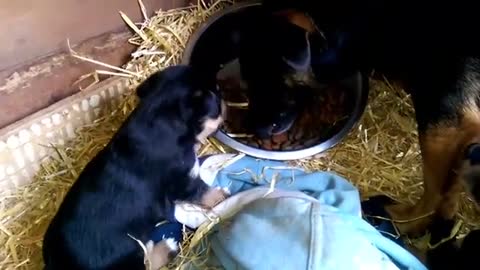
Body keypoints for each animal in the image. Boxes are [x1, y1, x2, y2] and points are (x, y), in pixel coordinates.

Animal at [41, 65, 229, 270]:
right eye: (217, 93)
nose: (226, 104)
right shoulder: (182, 178)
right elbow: (202, 191)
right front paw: (222, 195)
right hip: (128, 256)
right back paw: (168, 246)